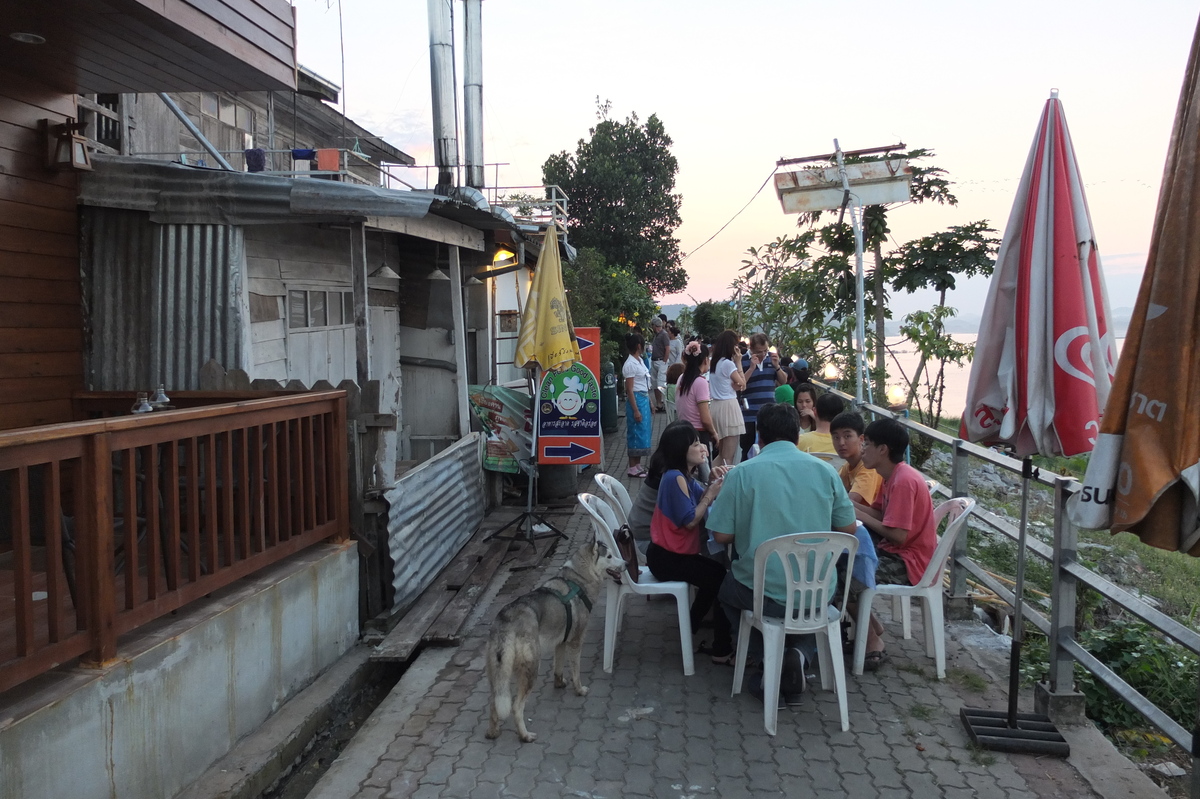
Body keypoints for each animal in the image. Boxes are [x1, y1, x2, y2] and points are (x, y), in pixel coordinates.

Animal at [484, 535, 624, 739]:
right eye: (610, 556)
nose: (626, 564)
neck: (579, 578)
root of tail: (506, 620)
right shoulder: (576, 642)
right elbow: (576, 672)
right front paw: (579, 690)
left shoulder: (561, 643)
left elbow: (558, 669)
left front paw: (559, 684)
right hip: (532, 669)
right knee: (516, 707)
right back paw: (525, 736)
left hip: (498, 676)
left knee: (494, 704)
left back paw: (493, 733)